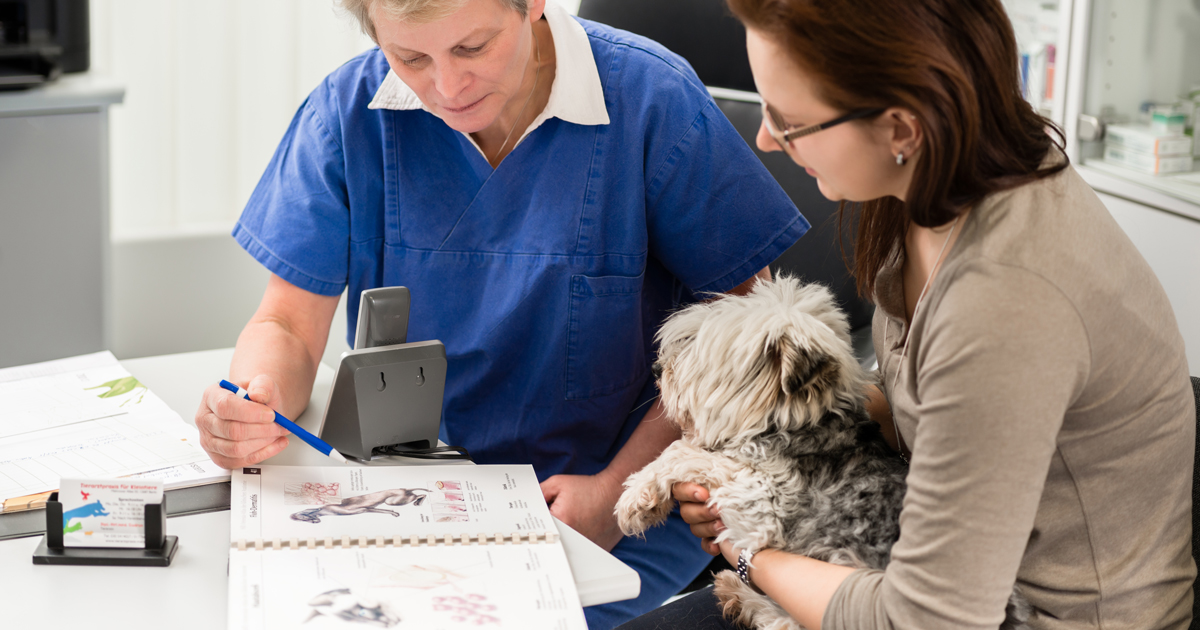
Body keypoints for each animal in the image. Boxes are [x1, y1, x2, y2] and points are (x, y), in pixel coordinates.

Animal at [614, 276, 1027, 628]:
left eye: (698, 358)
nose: (657, 368)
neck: (800, 427)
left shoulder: (763, 503)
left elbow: (687, 451)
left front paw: (638, 498)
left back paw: (743, 596)